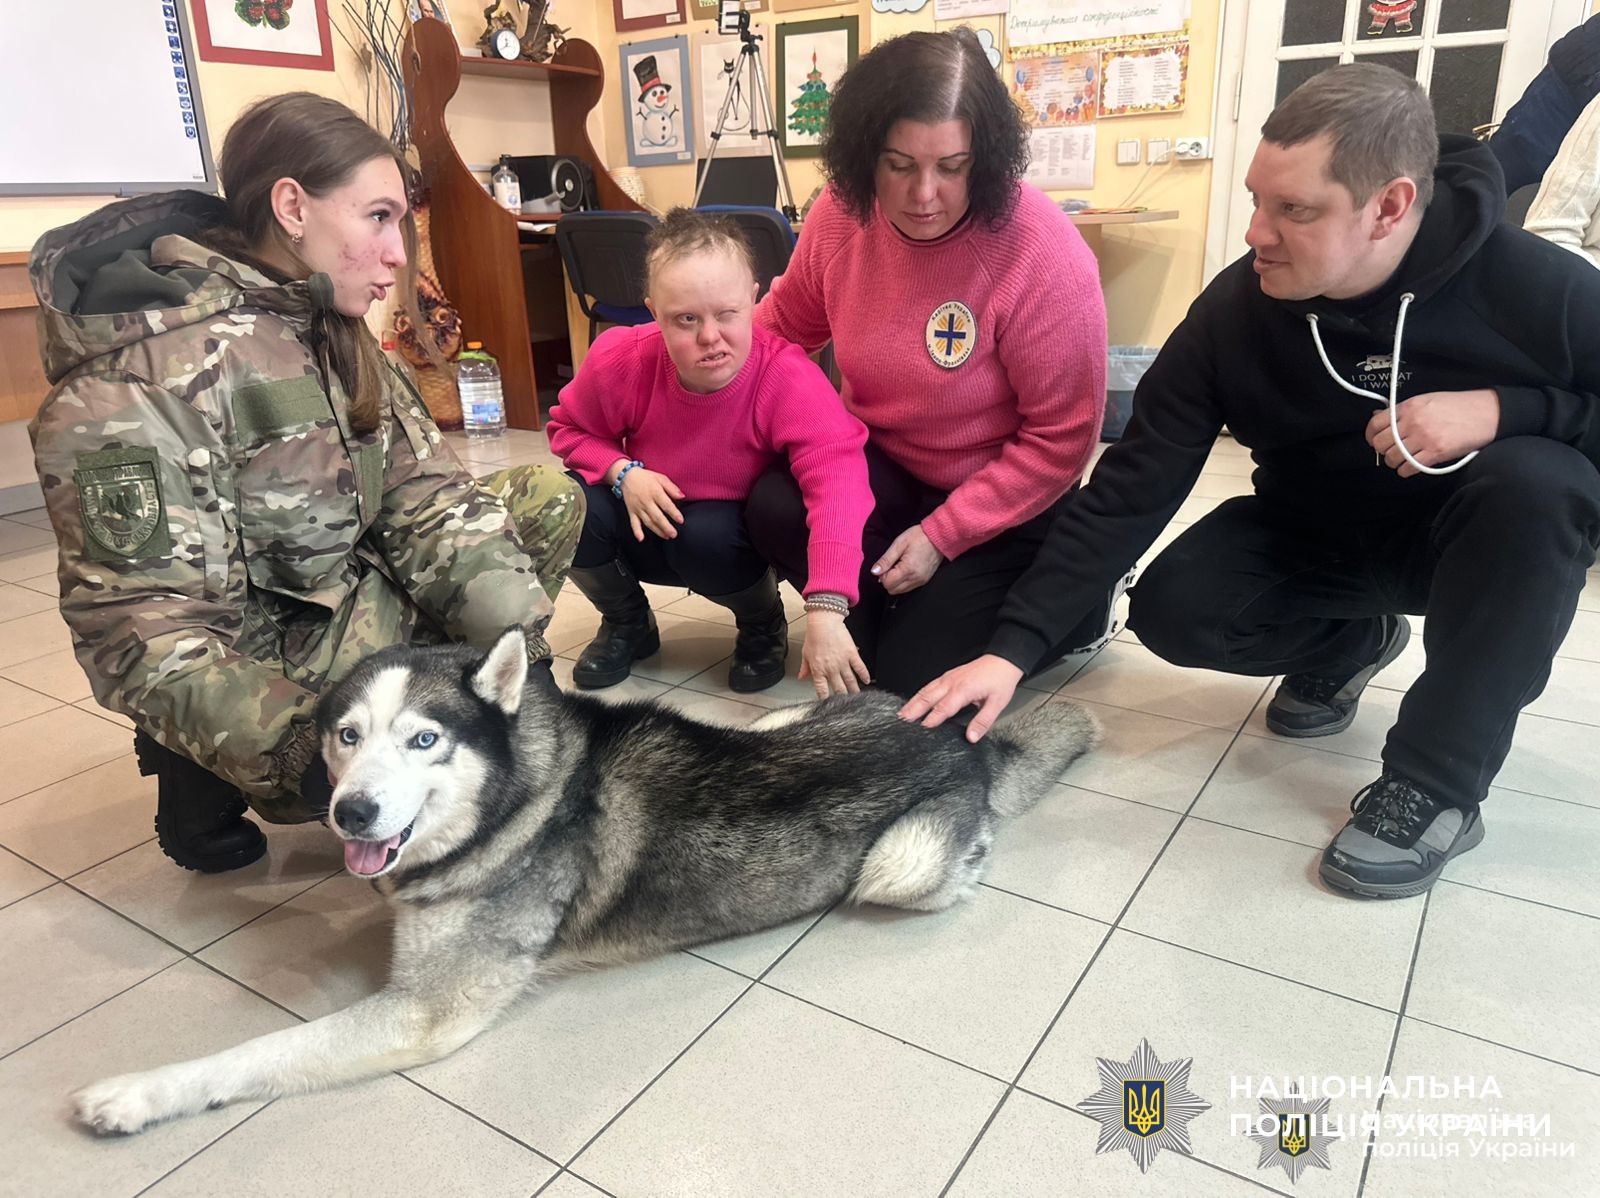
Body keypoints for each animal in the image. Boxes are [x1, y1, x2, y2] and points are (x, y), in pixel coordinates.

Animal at [72, 628, 1096, 1135]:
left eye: (424, 739)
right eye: (346, 736)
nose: (352, 815)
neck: (519, 800)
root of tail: (963, 737)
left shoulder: (425, 1014)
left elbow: (261, 1052)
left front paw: (135, 1094)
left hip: (898, 864)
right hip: (792, 713)